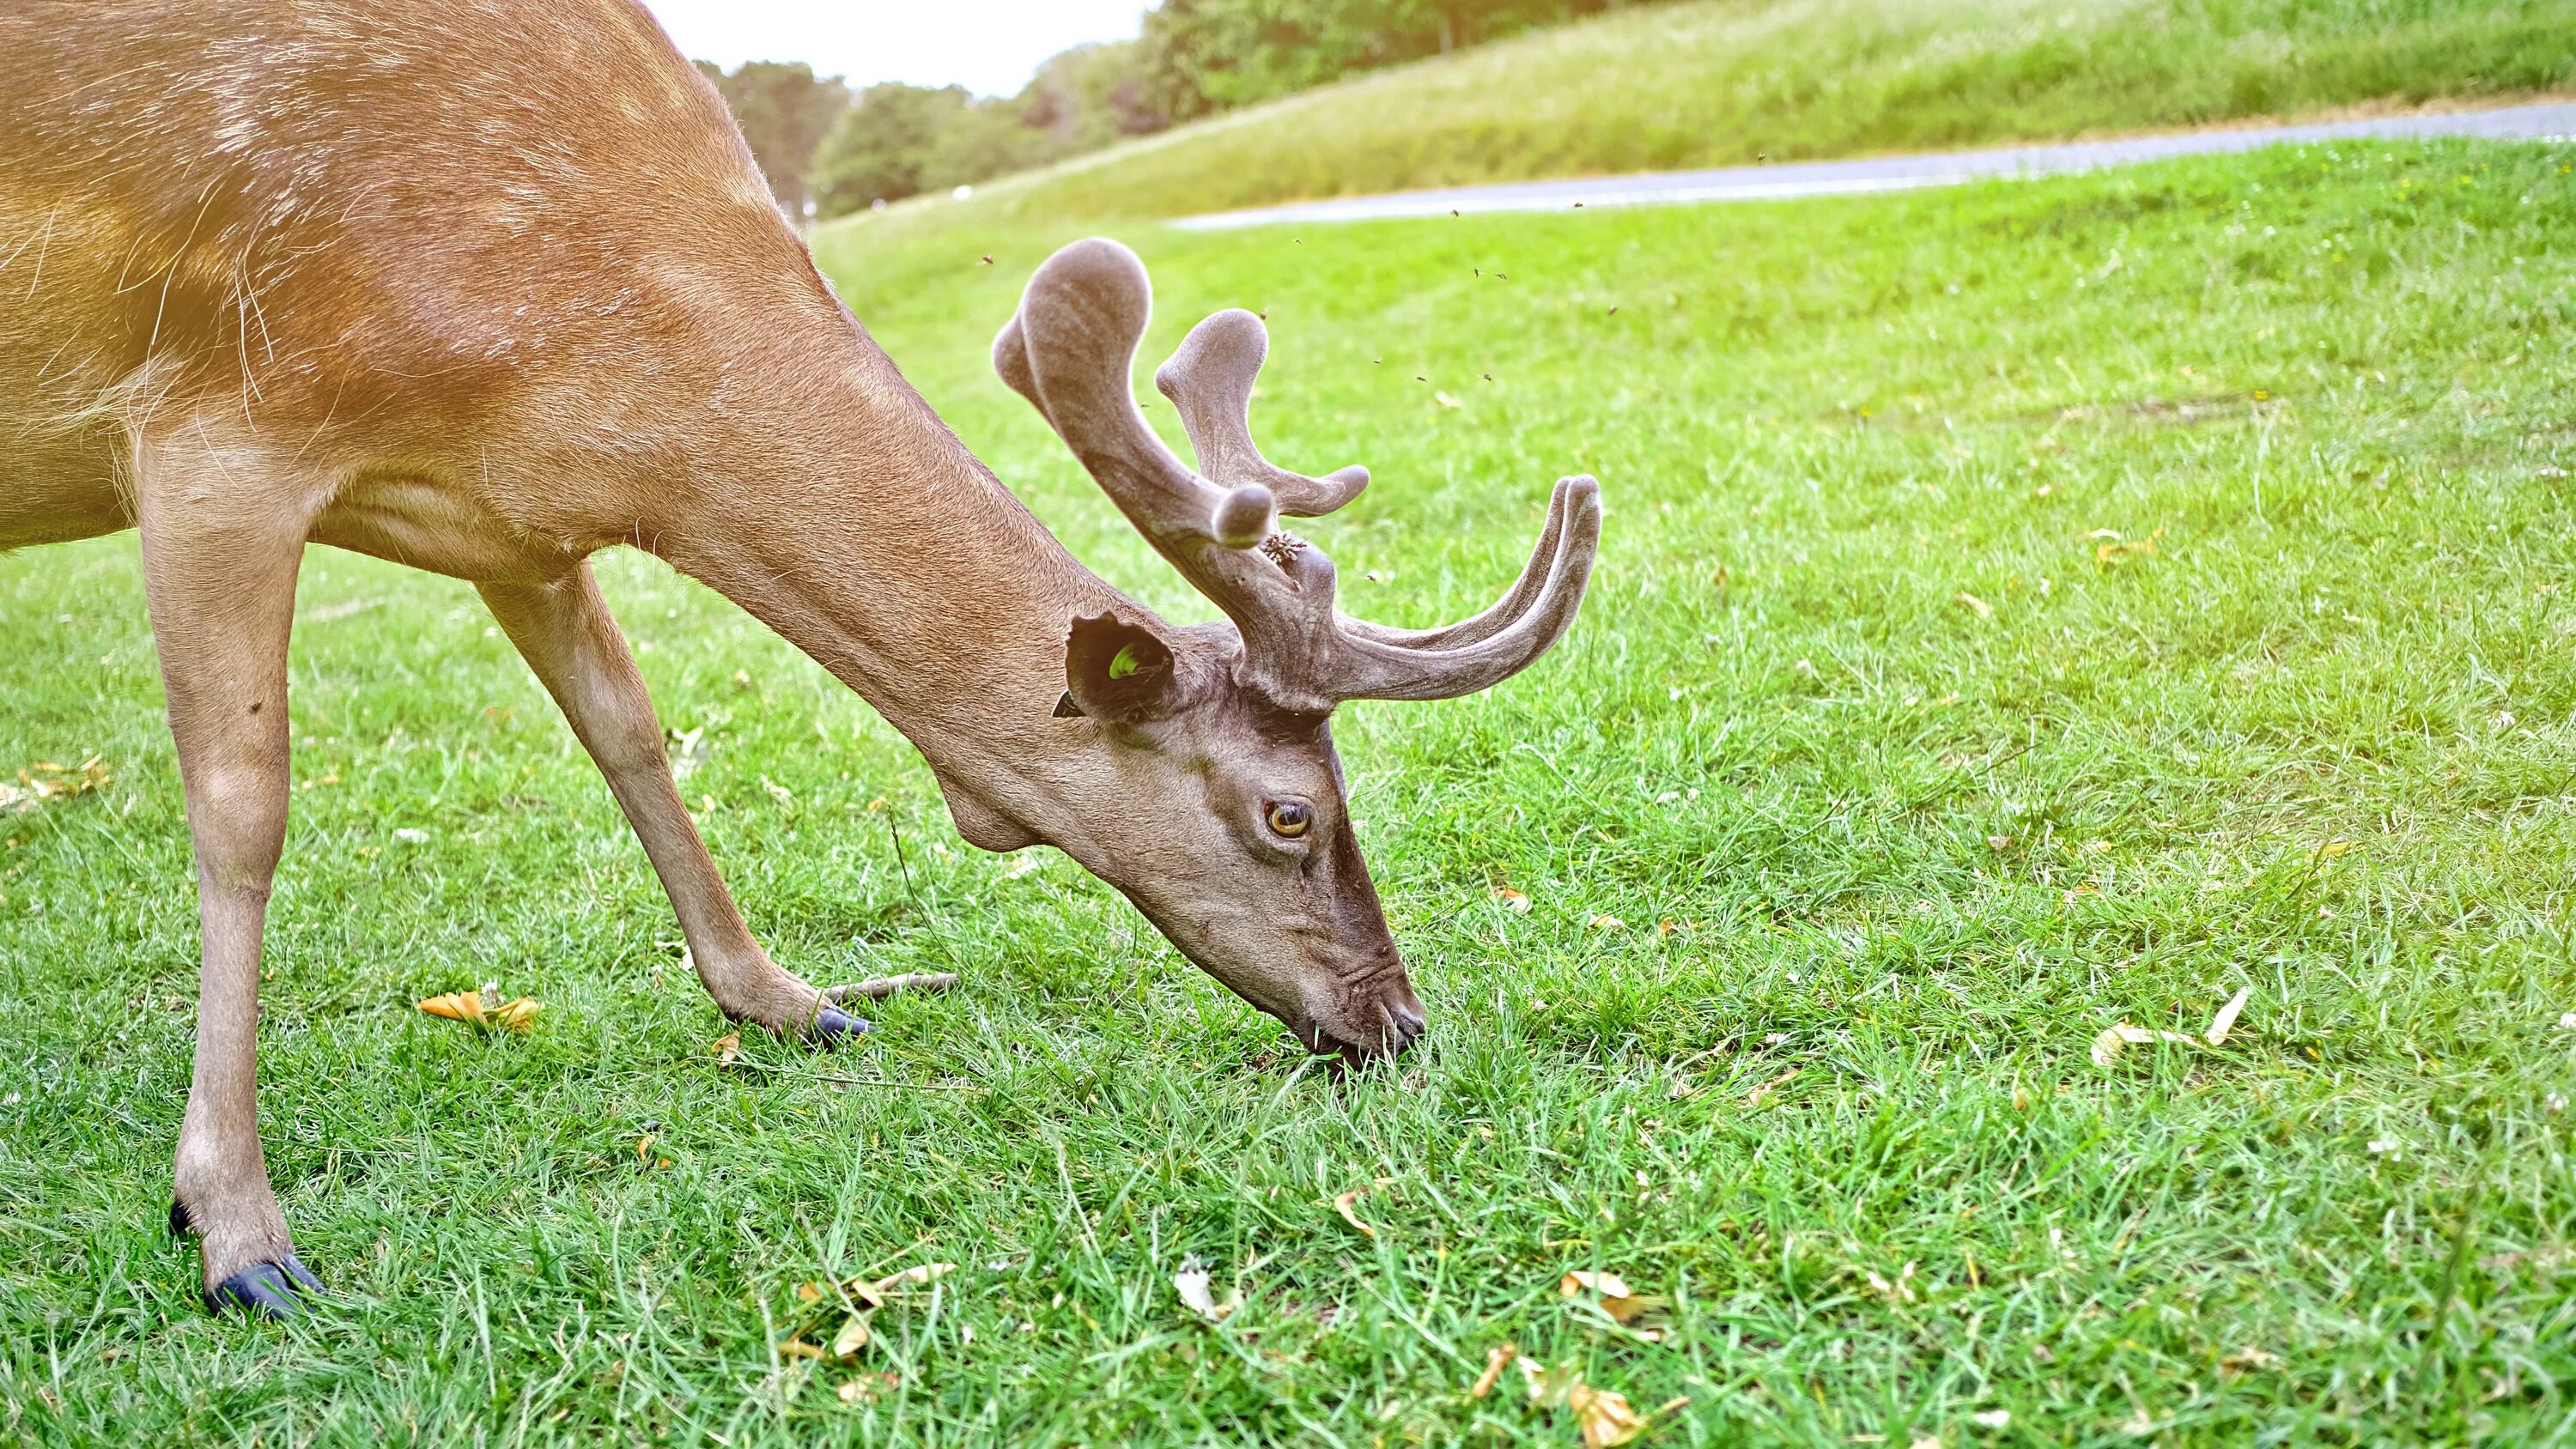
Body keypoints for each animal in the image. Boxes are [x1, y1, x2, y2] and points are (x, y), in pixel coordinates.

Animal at [0, 0, 1597, 1318]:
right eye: (1289, 812)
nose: (1397, 1020)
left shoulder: (515, 519)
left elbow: (632, 733)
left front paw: (790, 997)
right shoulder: (216, 428)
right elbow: (244, 809)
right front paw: (234, 1223)